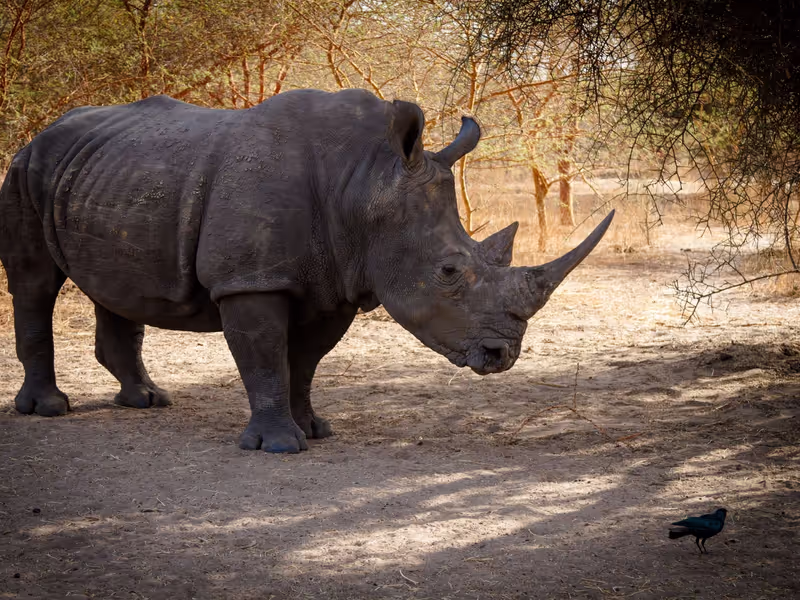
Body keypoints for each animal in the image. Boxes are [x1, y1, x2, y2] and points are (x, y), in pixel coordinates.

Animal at [0, 89, 613, 453]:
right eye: (447, 271)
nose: (501, 356)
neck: (365, 181)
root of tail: (42, 133)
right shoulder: (251, 279)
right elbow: (264, 354)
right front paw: (279, 446)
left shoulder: (337, 280)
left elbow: (305, 361)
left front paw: (315, 431)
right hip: (27, 168)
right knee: (34, 281)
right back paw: (48, 410)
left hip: (106, 174)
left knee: (114, 284)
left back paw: (147, 400)